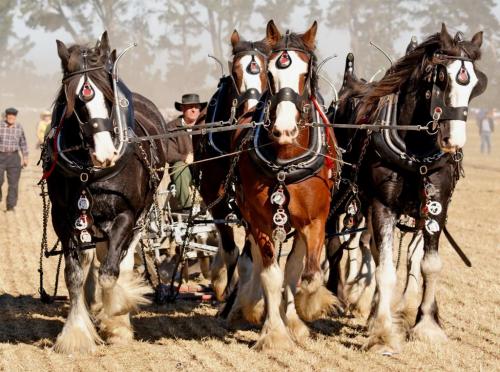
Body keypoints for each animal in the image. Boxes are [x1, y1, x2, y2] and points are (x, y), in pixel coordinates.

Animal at [43, 31, 168, 352]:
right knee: (93, 258)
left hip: (139, 217)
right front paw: (76, 334)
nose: (106, 155)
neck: (91, 172)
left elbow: (111, 273)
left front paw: (117, 316)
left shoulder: (125, 215)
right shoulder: (65, 218)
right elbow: (74, 274)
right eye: (75, 102)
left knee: (121, 260)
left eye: (109, 97)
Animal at [232, 22, 342, 348]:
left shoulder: (316, 219)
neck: (285, 159)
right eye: (270, 74)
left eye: (306, 73)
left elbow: (307, 275)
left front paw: (308, 307)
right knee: (259, 261)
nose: (284, 129)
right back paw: (257, 306)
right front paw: (274, 332)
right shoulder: (259, 220)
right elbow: (271, 275)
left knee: (295, 266)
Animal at [330, 24, 486, 354]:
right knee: (335, 243)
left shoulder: (436, 205)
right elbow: (386, 269)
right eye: (440, 79)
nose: (454, 140)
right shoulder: (383, 205)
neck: (417, 148)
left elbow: (429, 264)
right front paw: (383, 334)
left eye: (474, 83)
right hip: (344, 194)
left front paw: (426, 325)